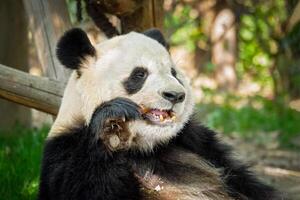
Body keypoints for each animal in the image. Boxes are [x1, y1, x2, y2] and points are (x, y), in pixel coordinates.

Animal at [37, 28, 282, 200]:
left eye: (174, 73)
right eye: (139, 74)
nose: (175, 95)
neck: (145, 147)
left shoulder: (198, 142)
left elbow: (244, 181)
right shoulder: (65, 150)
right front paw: (111, 123)